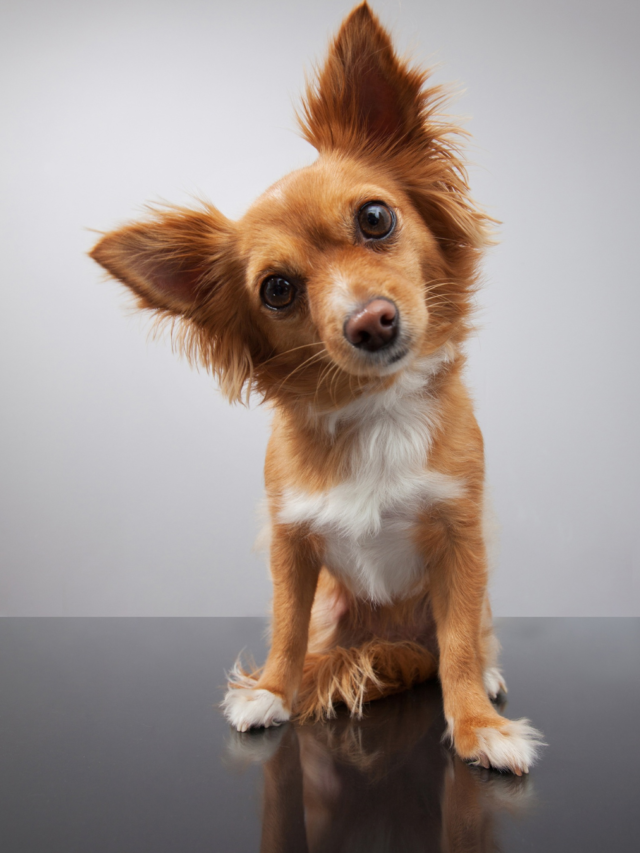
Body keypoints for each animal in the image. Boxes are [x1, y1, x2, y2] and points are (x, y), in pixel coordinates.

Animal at [89, 1, 540, 772]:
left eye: (375, 218)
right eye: (277, 289)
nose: (371, 322)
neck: (372, 410)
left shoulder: (460, 539)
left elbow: (454, 646)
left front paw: (479, 725)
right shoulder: (292, 544)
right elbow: (286, 624)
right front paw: (273, 690)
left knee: (467, 638)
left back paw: (485, 674)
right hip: (339, 604)